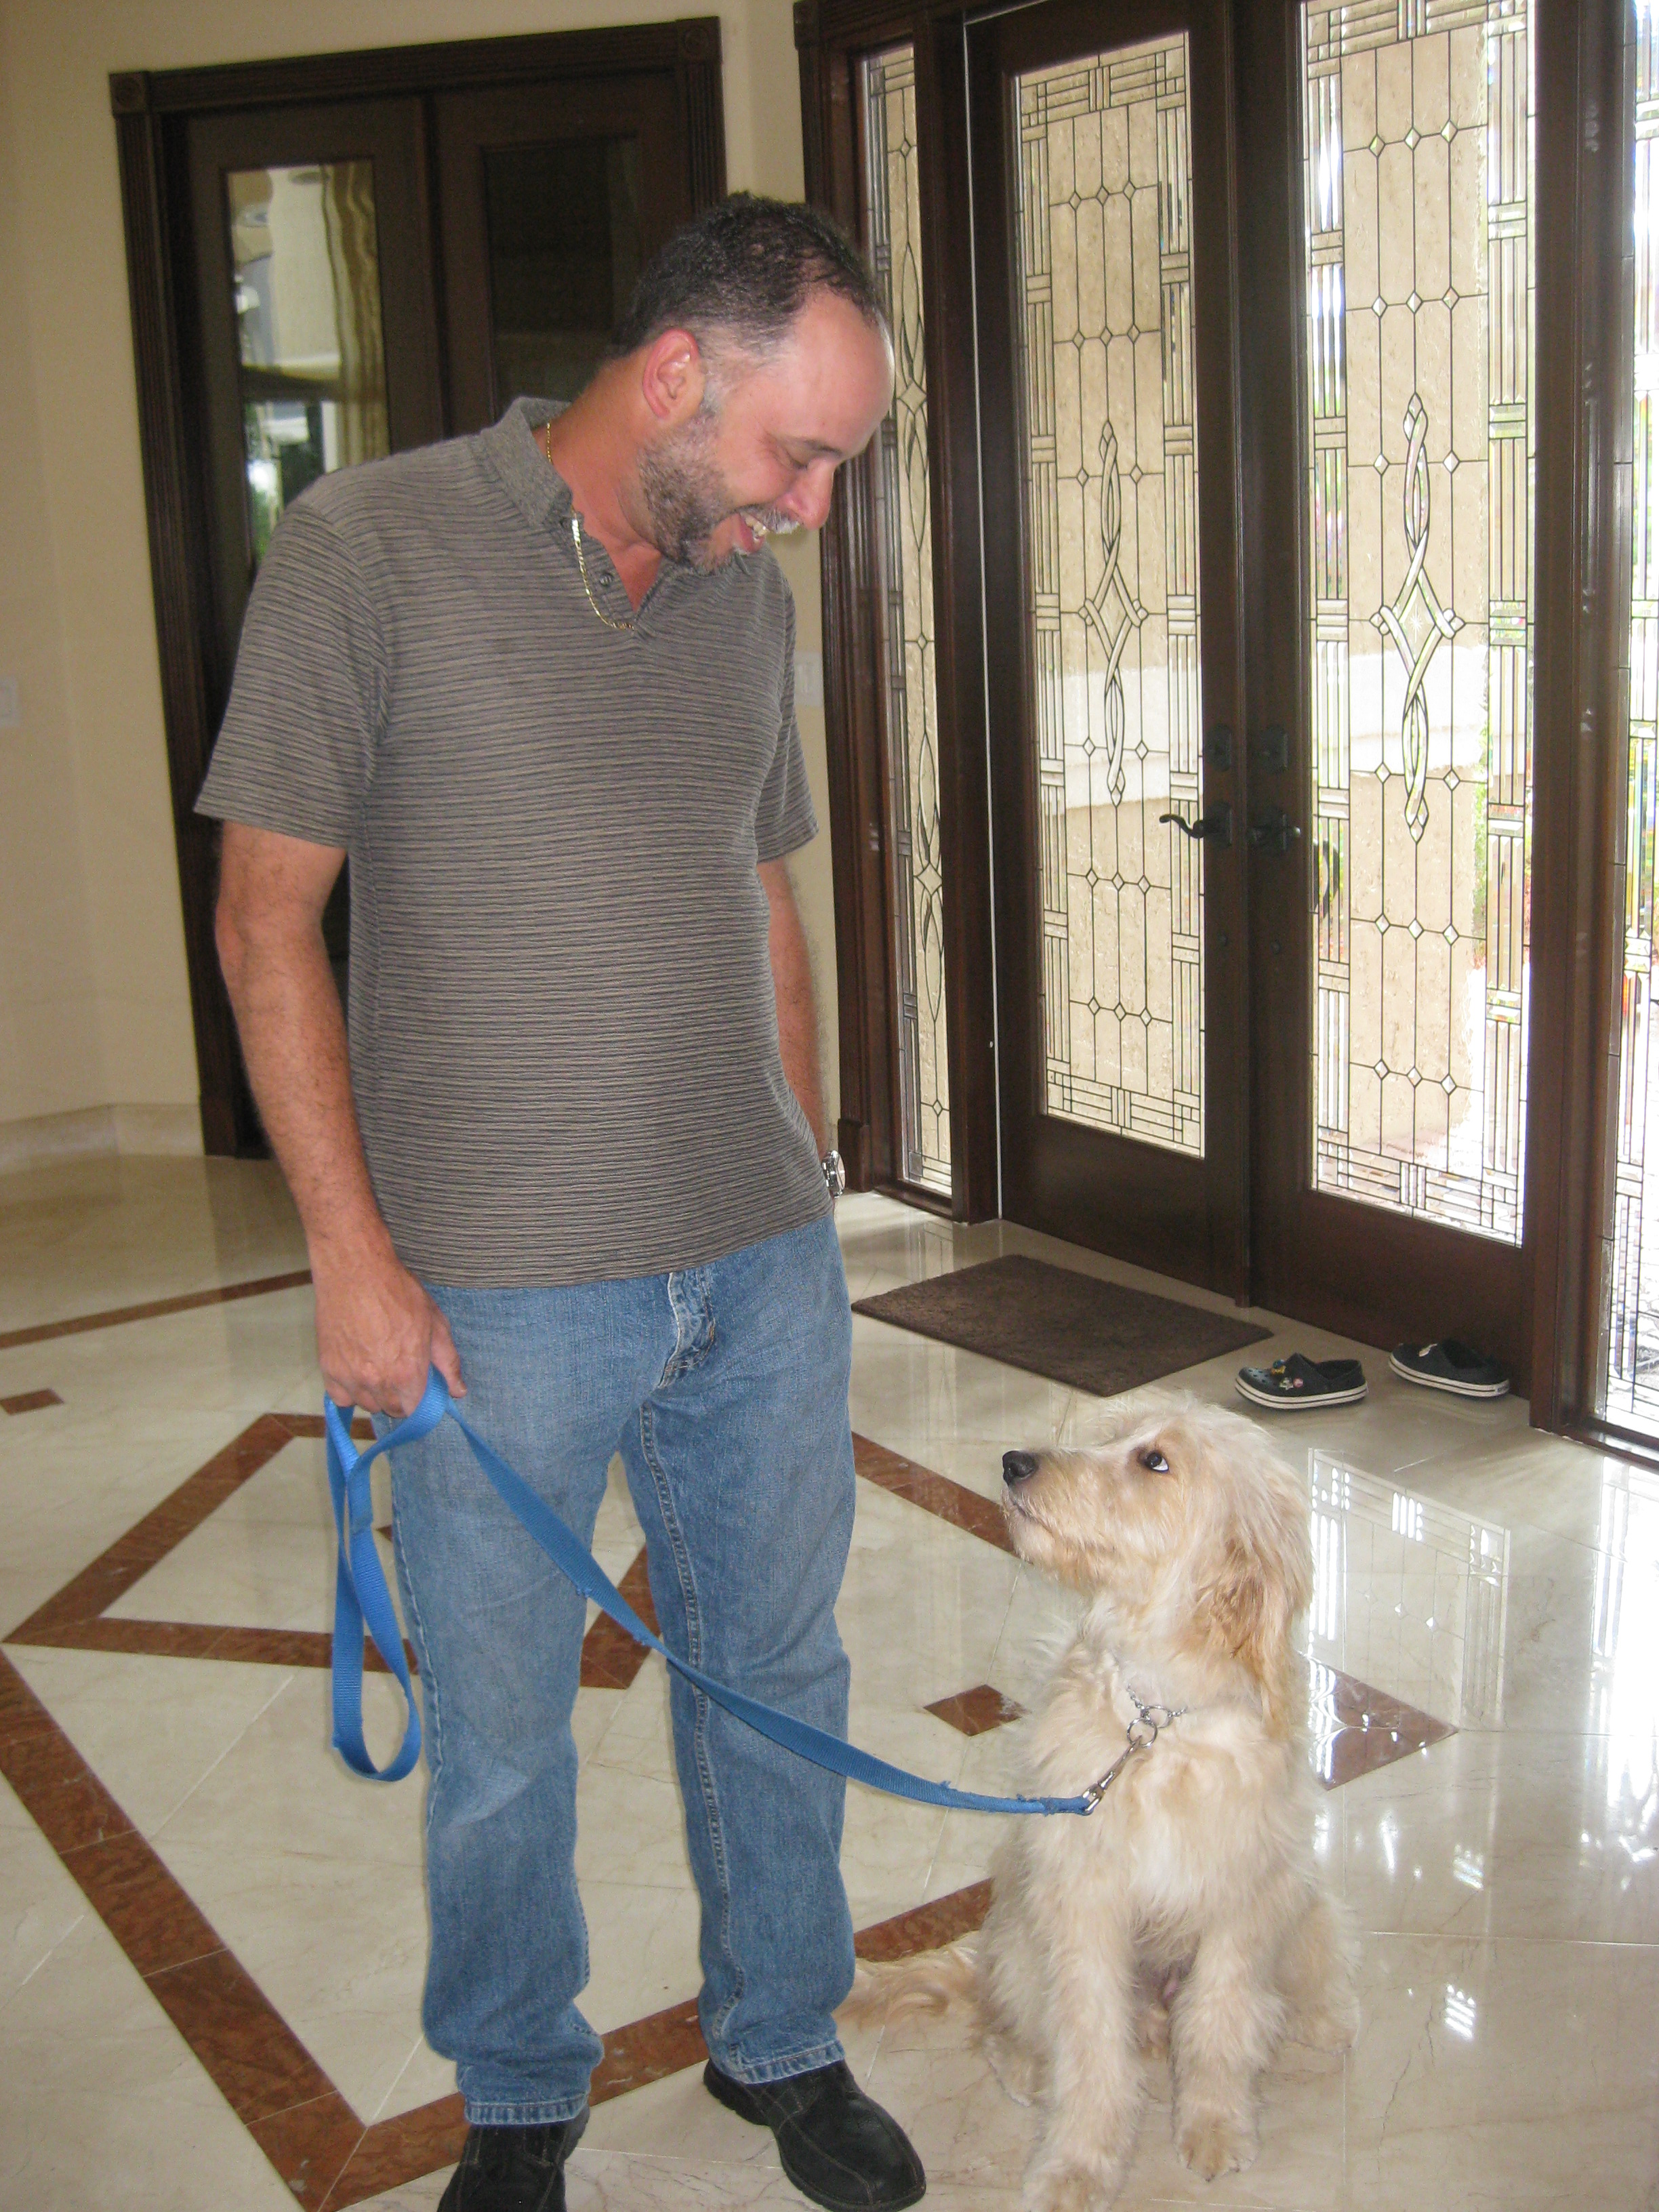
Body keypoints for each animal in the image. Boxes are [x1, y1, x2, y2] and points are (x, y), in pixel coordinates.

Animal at [847, 1396, 1358, 2211]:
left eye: (1155, 1461)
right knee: (1011, 2021)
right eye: (1116, 1437)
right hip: (1022, 1930)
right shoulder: (1084, 1906)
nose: (1013, 1462)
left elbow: (1220, 2020)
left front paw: (1215, 2127)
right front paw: (1079, 2165)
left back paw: (1323, 2018)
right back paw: (1028, 2067)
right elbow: (1090, 2047)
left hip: (1301, 1898)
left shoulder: (1240, 1898)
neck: (1157, 1721)